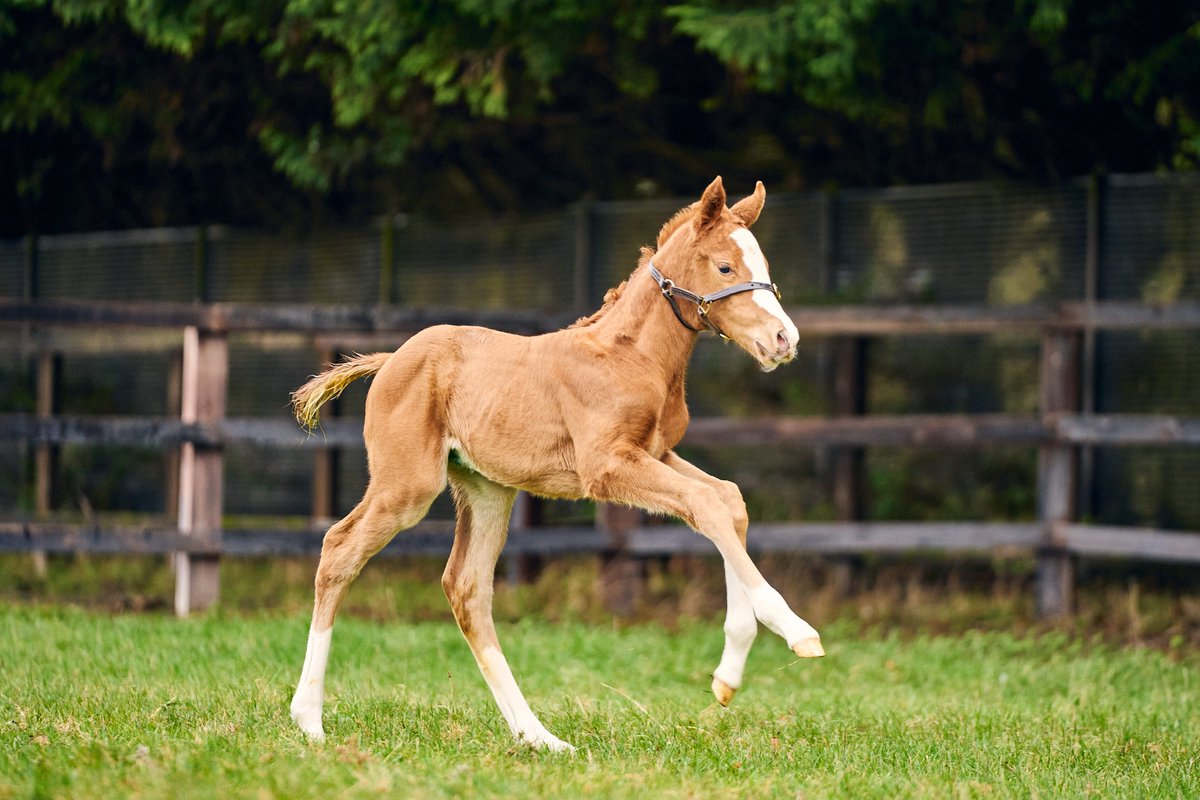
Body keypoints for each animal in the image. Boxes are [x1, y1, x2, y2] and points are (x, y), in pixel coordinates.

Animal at [288, 176, 824, 752]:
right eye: (725, 267)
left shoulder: (657, 452)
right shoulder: (607, 467)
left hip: (487, 490)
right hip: (406, 486)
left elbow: (727, 499)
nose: (784, 340)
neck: (633, 357)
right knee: (339, 550)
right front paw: (795, 630)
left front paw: (728, 675)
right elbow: (706, 503)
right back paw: (310, 720)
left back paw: (538, 737)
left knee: (467, 588)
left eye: (763, 263)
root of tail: (391, 360)